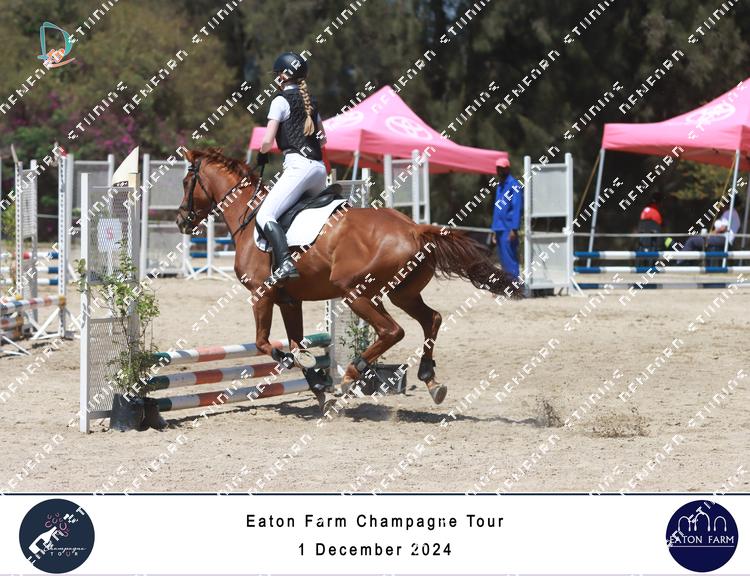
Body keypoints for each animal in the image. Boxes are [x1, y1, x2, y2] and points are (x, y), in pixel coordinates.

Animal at [176, 148, 521, 409]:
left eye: (185, 181)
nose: (181, 220)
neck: (248, 218)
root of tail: (414, 229)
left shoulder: (262, 294)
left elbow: (266, 344)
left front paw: (304, 369)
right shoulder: (290, 300)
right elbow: (296, 344)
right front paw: (318, 388)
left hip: (355, 293)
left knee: (391, 330)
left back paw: (353, 373)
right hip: (400, 294)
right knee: (431, 319)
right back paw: (430, 379)